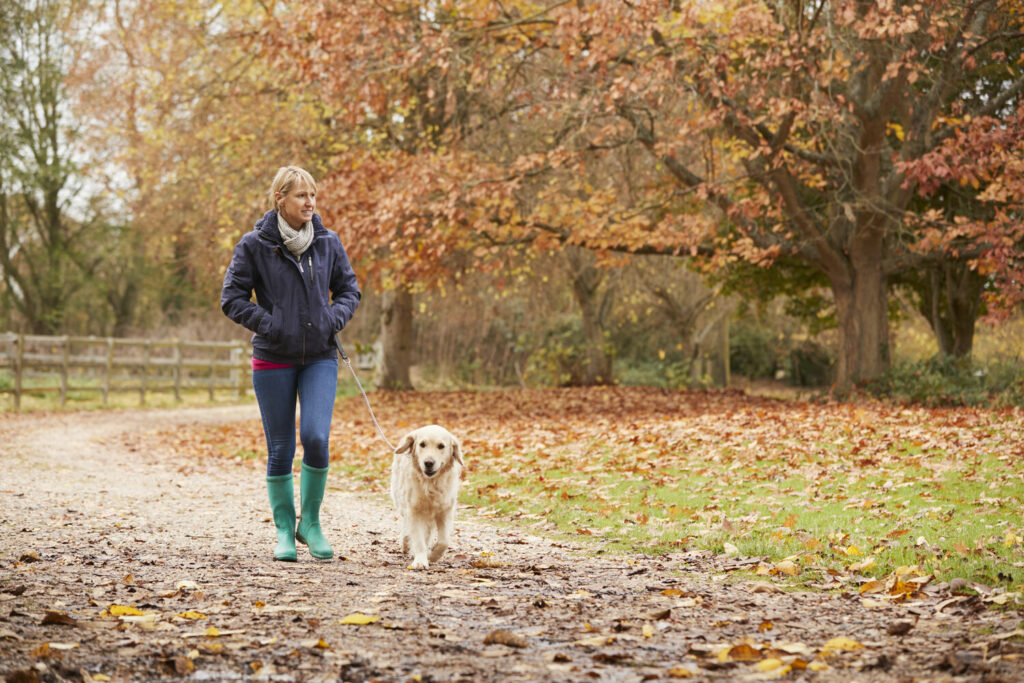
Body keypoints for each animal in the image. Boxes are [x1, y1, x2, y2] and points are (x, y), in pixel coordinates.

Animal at [389, 423, 462, 569]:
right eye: (422, 444)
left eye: (441, 446)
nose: (428, 462)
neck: (431, 484)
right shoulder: (414, 511)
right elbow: (418, 539)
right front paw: (420, 561)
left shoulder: (445, 511)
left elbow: (444, 542)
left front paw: (432, 556)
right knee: (406, 524)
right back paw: (405, 542)